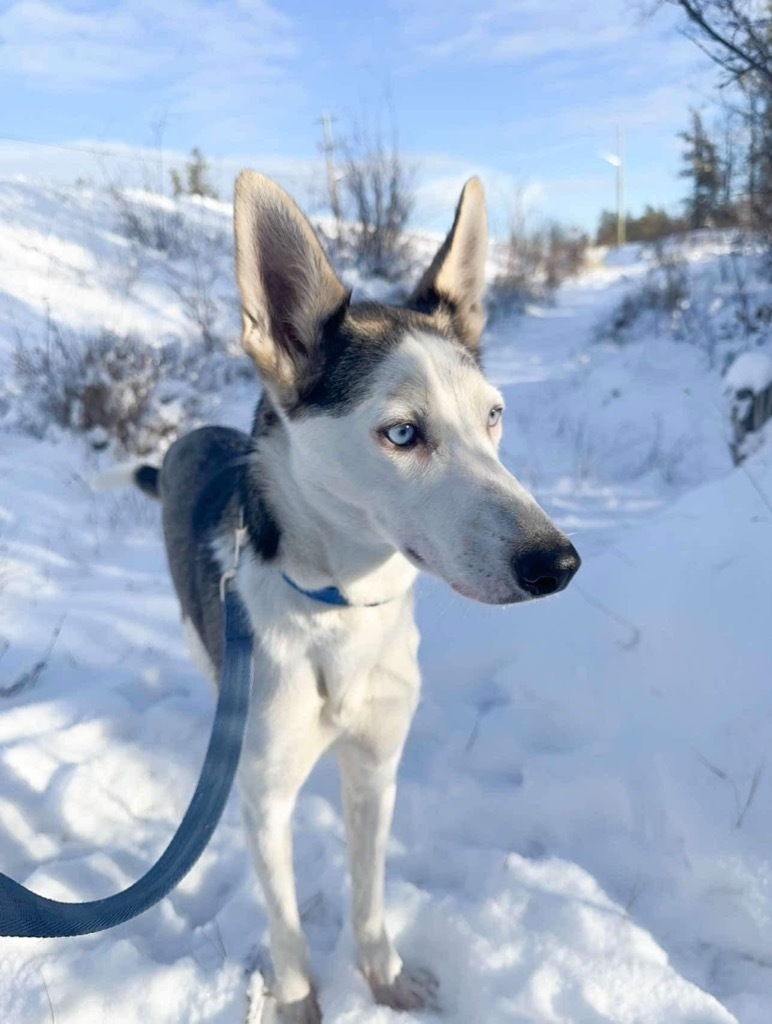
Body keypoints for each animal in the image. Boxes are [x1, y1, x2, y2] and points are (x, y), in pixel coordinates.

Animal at [134, 172, 577, 1019]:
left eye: (493, 417)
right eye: (402, 434)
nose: (558, 563)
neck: (336, 615)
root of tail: (190, 436)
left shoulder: (376, 767)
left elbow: (369, 892)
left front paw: (386, 977)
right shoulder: (265, 796)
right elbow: (284, 922)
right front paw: (298, 999)